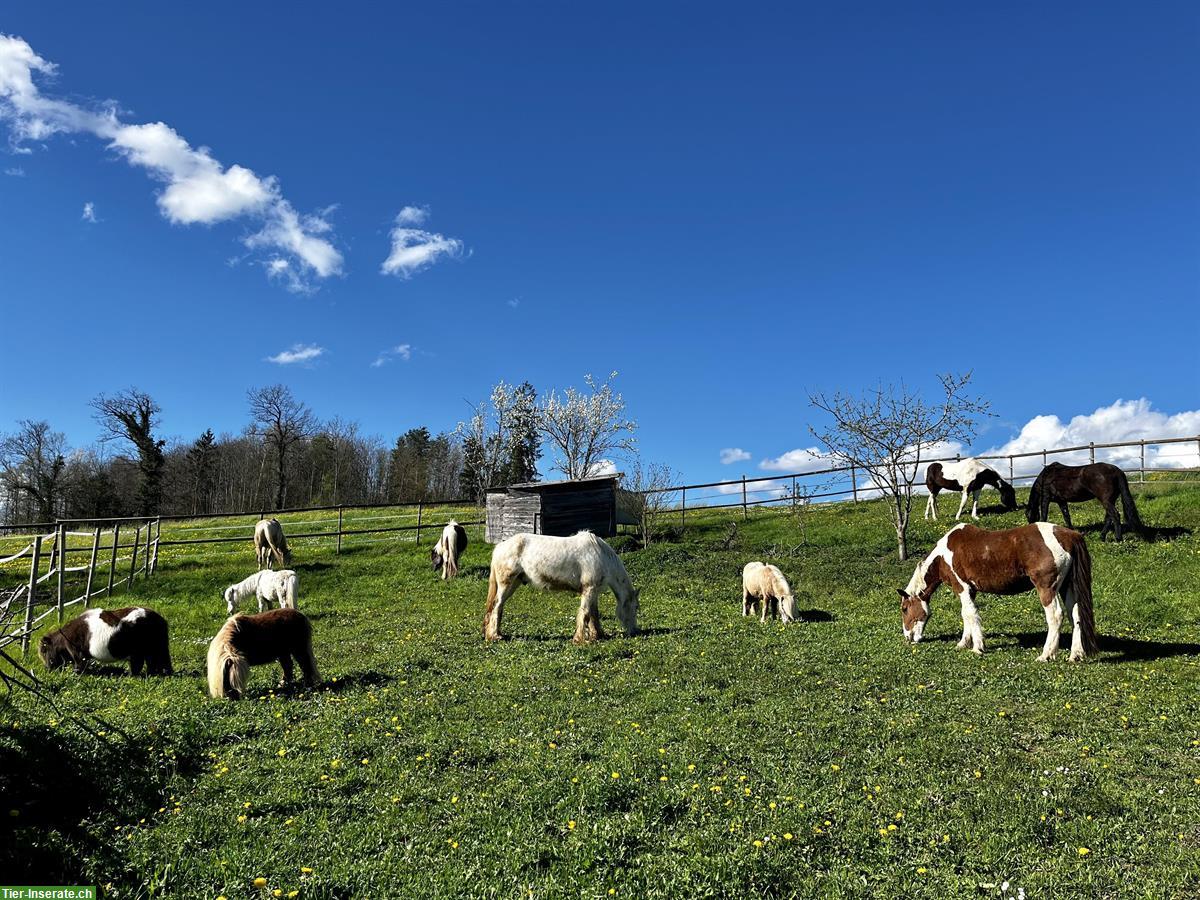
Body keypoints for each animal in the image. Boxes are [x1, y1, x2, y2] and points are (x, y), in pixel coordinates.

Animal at [39, 607, 174, 676]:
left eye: (44, 651)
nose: (47, 669)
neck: (65, 636)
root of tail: (160, 619)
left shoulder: (77, 652)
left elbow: (80, 664)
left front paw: (78, 674)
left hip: (143, 650)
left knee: (140, 664)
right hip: (153, 649)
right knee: (153, 663)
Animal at [482, 532, 643, 643]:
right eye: (635, 607)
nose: (635, 632)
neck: (600, 555)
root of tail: (499, 547)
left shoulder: (594, 592)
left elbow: (593, 614)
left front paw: (598, 635)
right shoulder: (588, 589)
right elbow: (585, 613)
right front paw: (579, 639)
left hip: (513, 584)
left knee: (499, 608)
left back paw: (498, 634)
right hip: (506, 583)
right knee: (496, 606)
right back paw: (494, 636)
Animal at [902, 520, 1099, 662]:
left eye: (904, 609)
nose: (908, 637)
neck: (943, 555)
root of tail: (1070, 535)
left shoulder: (962, 588)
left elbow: (970, 614)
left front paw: (977, 647)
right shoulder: (970, 591)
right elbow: (966, 615)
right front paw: (964, 643)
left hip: (1047, 588)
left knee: (1056, 616)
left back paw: (1046, 655)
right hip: (1068, 587)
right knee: (1076, 616)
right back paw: (1075, 655)